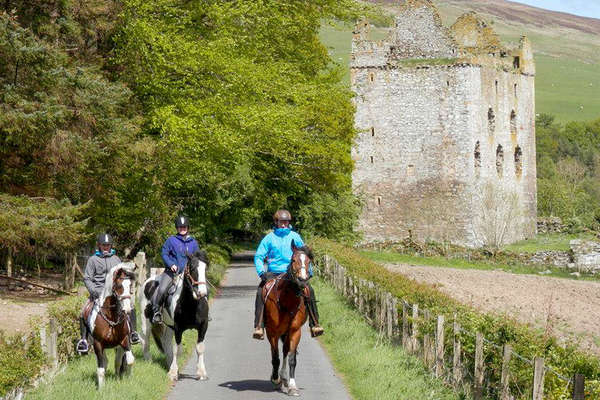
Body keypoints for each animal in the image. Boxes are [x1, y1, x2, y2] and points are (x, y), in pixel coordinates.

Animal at [140, 252, 210, 380]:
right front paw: (173, 373)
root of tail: (149, 281)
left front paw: (201, 373)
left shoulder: (203, 326)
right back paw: (149, 361)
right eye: (192, 268)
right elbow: (177, 349)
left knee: (165, 341)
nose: (202, 293)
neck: (191, 304)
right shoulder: (178, 328)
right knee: (145, 339)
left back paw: (169, 363)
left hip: (169, 326)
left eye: (205, 268)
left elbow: (200, 348)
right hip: (146, 320)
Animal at [266, 241, 314, 396]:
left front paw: (292, 386)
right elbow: (275, 357)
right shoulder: (272, 332)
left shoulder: (294, 330)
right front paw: (275, 379)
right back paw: (278, 378)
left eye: (308, 261)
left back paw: (285, 379)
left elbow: (292, 357)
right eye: (293, 260)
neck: (287, 300)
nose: (302, 280)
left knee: (286, 350)